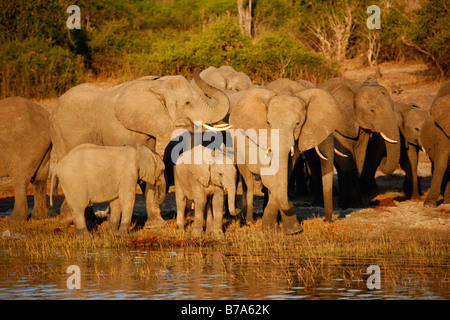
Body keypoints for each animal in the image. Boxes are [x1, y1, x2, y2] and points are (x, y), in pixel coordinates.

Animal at [51, 68, 230, 228]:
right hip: (59, 134)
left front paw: (157, 225)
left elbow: (147, 166)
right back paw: (81, 222)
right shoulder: (116, 129)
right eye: (187, 102)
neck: (155, 85)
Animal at [230, 87, 342, 232]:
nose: (326, 220)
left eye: (298, 123)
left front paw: (286, 229)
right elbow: (270, 176)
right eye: (268, 123)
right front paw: (285, 228)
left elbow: (285, 172)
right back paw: (248, 222)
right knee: (248, 179)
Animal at [318, 76, 400, 209]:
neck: (357, 90)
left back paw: (343, 203)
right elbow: (347, 159)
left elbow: (360, 156)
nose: (384, 158)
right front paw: (356, 205)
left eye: (393, 107)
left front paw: (354, 203)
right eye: (372, 110)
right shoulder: (339, 124)